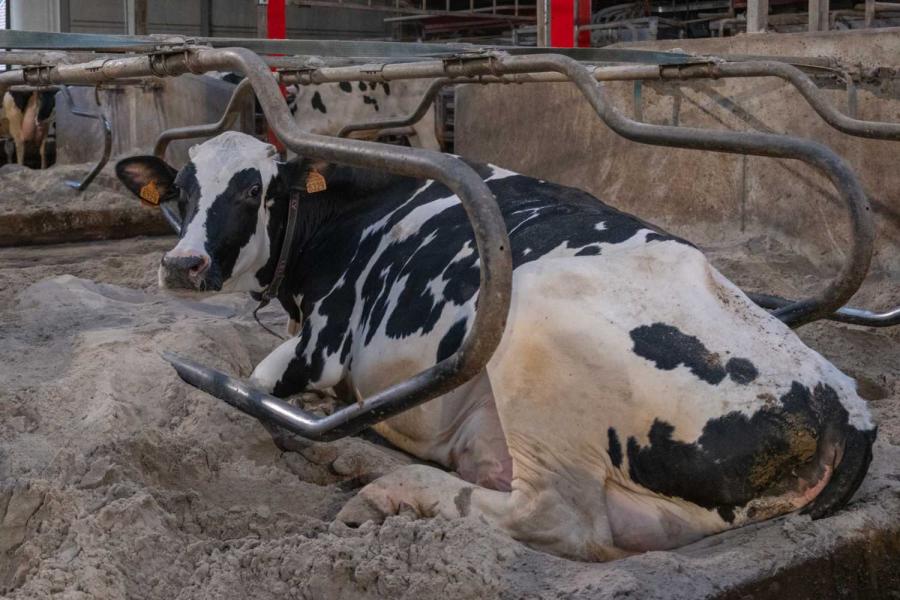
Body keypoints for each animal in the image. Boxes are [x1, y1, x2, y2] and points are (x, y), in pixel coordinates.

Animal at [116, 132, 876, 564]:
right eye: (181, 189)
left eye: (253, 190)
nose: (182, 264)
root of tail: (835, 407)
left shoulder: (325, 342)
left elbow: (257, 381)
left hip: (533, 353)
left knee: (554, 519)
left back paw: (383, 487)